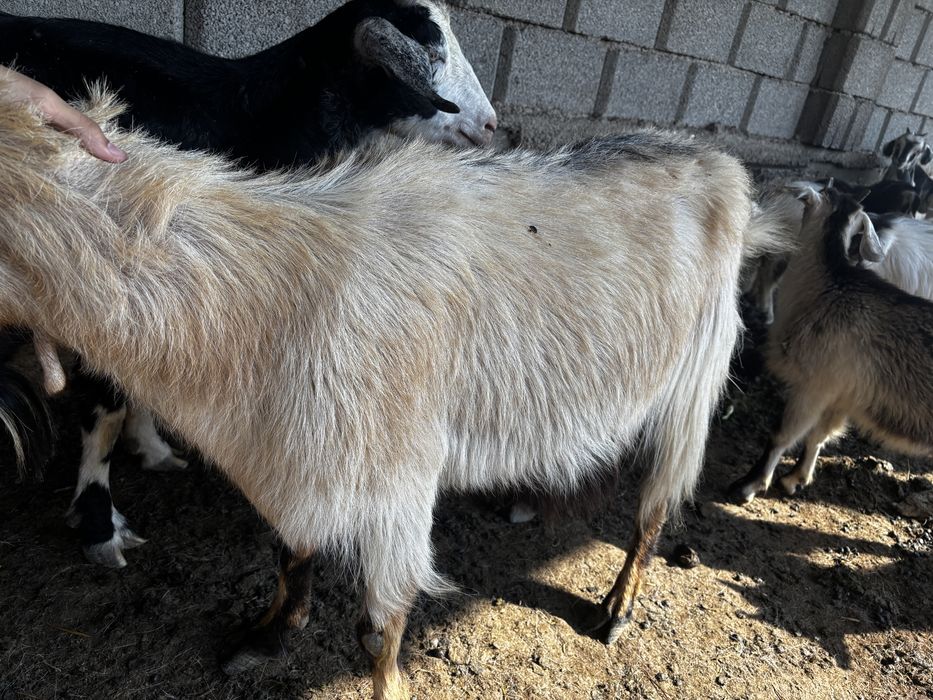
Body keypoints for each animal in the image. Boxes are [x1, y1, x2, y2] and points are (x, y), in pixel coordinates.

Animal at [0, 0, 496, 568]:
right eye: (430, 47)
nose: (490, 125)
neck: (255, 115)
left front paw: (152, 449)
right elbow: (106, 406)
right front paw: (100, 527)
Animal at [0, 88, 783, 698]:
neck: (262, 297)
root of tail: (717, 160)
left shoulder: (399, 475)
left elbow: (380, 627)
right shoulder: (300, 453)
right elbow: (291, 554)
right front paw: (266, 636)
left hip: (695, 378)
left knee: (655, 506)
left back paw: (617, 607)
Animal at [729, 185, 933, 504]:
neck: (829, 285)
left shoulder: (815, 386)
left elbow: (782, 435)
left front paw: (749, 485)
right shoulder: (841, 394)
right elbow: (818, 435)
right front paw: (795, 479)